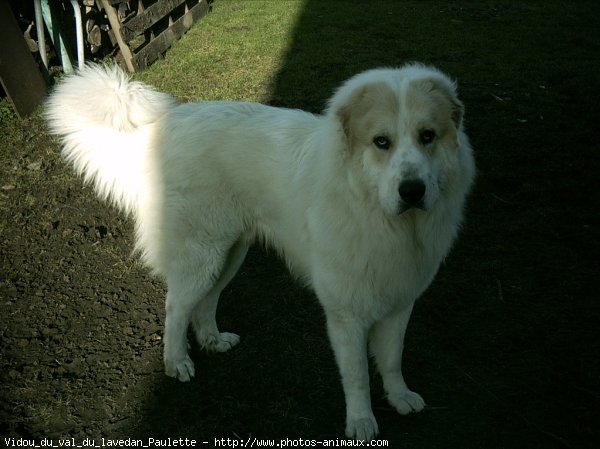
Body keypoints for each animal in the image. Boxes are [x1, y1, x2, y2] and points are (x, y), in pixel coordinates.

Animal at [45, 64, 474, 440]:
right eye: (381, 142)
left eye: (427, 136)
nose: (413, 191)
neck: (375, 214)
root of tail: (161, 128)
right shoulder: (346, 315)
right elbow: (357, 377)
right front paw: (361, 422)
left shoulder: (400, 300)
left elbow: (391, 359)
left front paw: (400, 397)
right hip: (203, 255)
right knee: (175, 308)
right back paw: (177, 362)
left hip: (229, 254)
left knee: (205, 304)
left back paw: (213, 341)